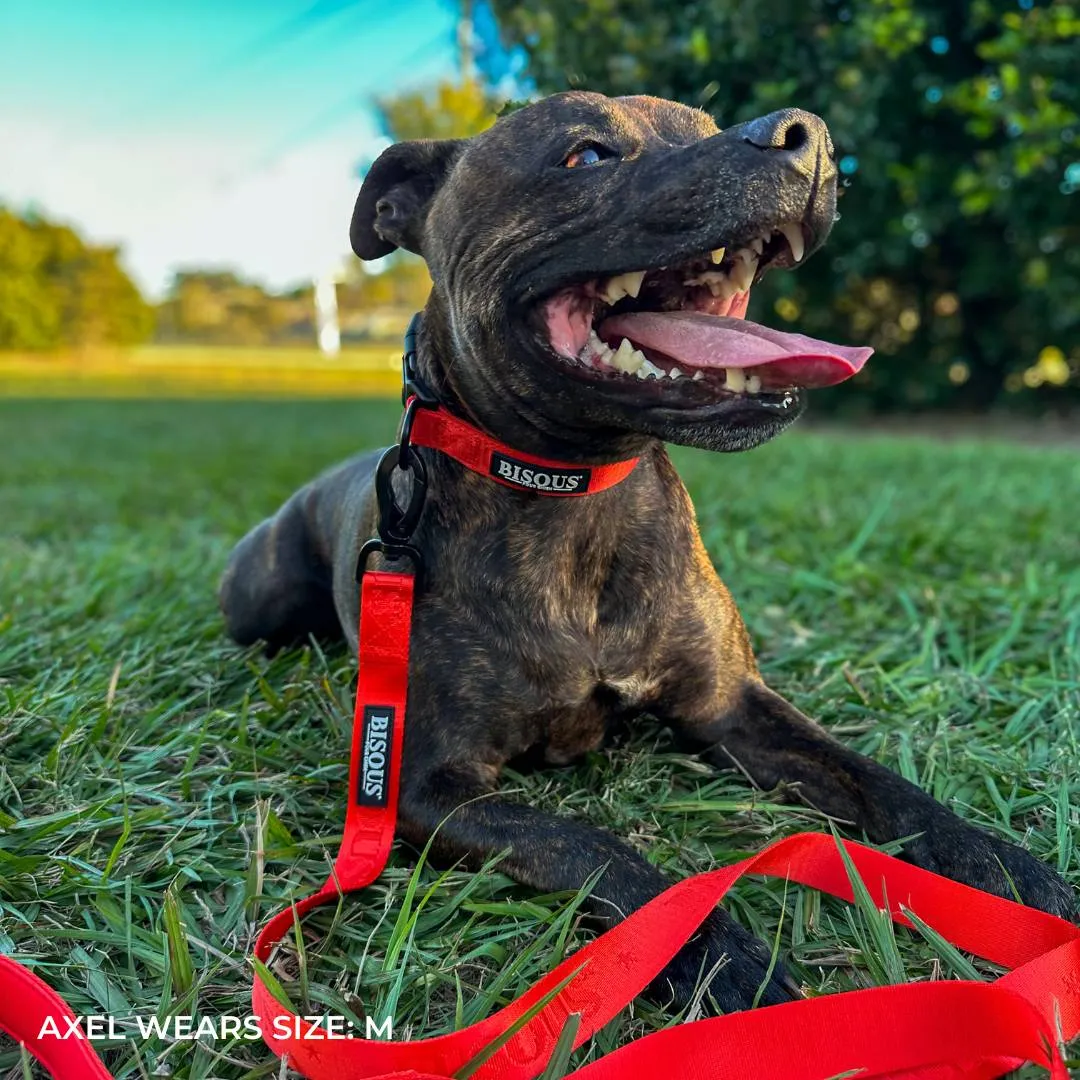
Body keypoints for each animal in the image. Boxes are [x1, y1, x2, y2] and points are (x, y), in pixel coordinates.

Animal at [217, 92, 1071, 1010]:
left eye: (704, 127)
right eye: (587, 156)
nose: (805, 136)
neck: (576, 496)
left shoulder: (733, 706)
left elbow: (885, 785)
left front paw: (1001, 870)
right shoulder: (426, 788)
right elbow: (600, 852)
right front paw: (719, 954)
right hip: (258, 603)